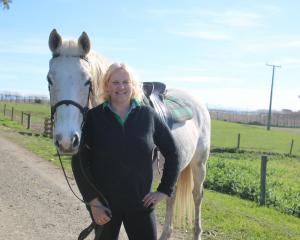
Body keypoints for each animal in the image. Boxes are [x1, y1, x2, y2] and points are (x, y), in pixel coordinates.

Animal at [47, 29, 211, 239]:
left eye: (87, 80)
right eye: (49, 79)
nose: (67, 141)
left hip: (199, 165)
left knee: (197, 196)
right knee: (171, 196)